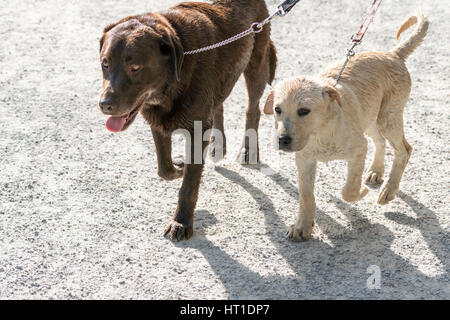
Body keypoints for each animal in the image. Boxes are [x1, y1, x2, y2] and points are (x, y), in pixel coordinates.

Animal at [96, 0, 276, 240]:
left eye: (135, 68)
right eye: (105, 64)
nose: (104, 105)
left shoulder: (197, 131)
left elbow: (188, 186)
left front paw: (181, 222)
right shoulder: (157, 120)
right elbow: (164, 168)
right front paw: (179, 168)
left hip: (256, 62)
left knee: (252, 109)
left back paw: (248, 150)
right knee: (218, 105)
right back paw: (218, 146)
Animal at [266, 13, 430, 241]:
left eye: (304, 111)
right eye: (277, 109)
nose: (282, 140)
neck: (323, 131)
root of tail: (392, 54)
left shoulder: (358, 150)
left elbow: (349, 190)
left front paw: (361, 192)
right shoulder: (305, 160)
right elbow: (306, 195)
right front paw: (302, 226)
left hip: (388, 118)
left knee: (404, 149)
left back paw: (389, 190)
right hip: (370, 118)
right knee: (380, 141)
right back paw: (376, 171)